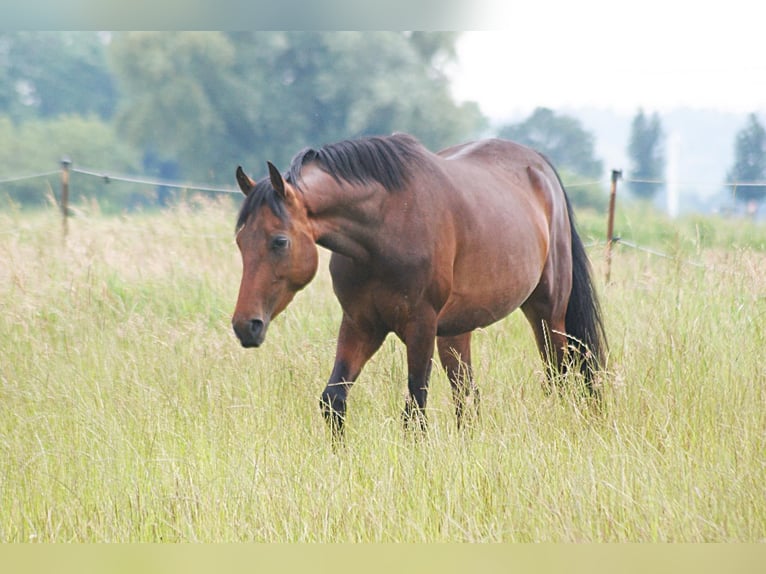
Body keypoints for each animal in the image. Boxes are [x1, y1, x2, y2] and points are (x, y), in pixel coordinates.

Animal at [231, 134, 608, 440]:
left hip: (547, 311)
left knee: (560, 375)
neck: (384, 227)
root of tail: (540, 167)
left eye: (279, 241)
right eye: (240, 241)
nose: (245, 326)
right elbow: (333, 400)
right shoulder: (360, 324)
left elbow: (414, 408)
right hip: (456, 331)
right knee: (467, 395)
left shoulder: (420, 325)